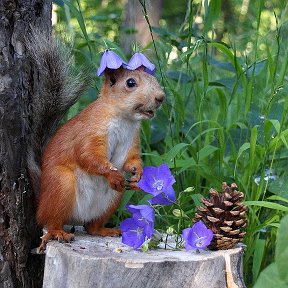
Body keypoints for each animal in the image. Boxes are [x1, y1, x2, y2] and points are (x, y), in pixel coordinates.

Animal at [26, 28, 165, 251]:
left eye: (153, 79)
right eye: (131, 83)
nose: (160, 97)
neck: (124, 119)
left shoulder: (132, 140)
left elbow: (131, 159)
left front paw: (138, 174)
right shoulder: (90, 133)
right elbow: (88, 156)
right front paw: (112, 174)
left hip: (113, 198)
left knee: (92, 227)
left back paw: (106, 230)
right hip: (61, 186)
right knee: (49, 221)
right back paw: (57, 233)